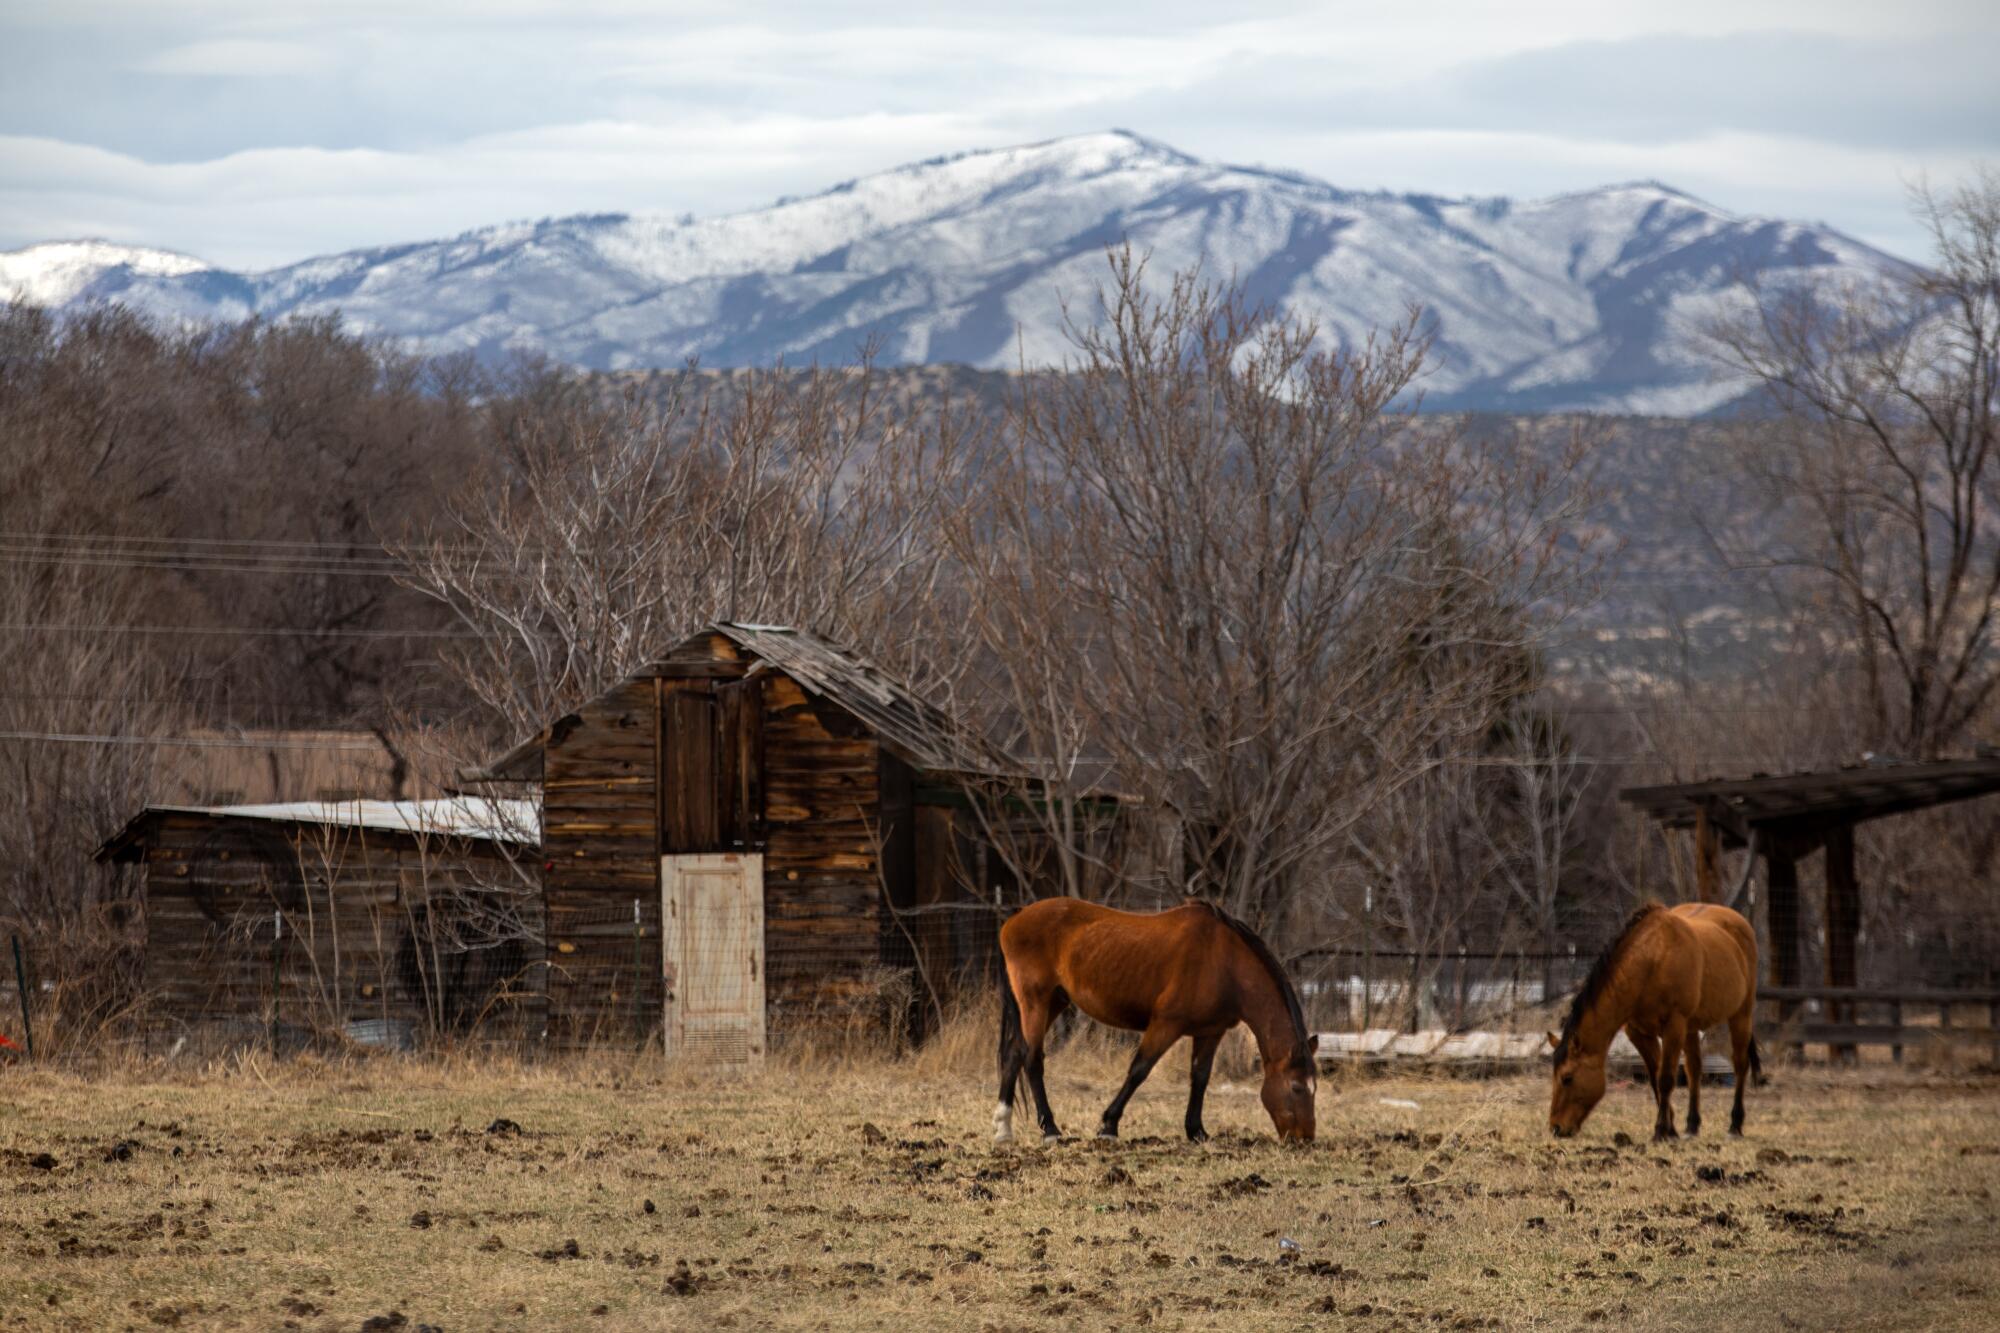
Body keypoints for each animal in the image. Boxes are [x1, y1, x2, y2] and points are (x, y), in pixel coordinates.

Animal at [996, 892, 1312, 1144]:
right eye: (1297, 1087)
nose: (1305, 1139)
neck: (1225, 961)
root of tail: (1017, 916)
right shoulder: (1165, 1025)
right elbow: (1139, 1070)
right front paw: (1108, 1126)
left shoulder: (1210, 1032)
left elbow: (1200, 1077)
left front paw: (1196, 1131)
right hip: (1036, 1002)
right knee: (1032, 1059)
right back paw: (1050, 1129)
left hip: (1053, 1002)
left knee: (1014, 1054)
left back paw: (1003, 1129)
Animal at [1544, 896, 1768, 1136]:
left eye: (1567, 1078)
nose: (1556, 1127)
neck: (1653, 961)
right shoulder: (1639, 1033)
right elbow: (1655, 1077)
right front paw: (1671, 1129)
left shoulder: (1673, 1027)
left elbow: (1666, 1078)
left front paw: (1661, 1131)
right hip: (1691, 1027)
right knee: (1694, 1069)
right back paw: (1692, 1126)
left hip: (1741, 1014)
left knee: (1740, 1064)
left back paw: (1735, 1125)